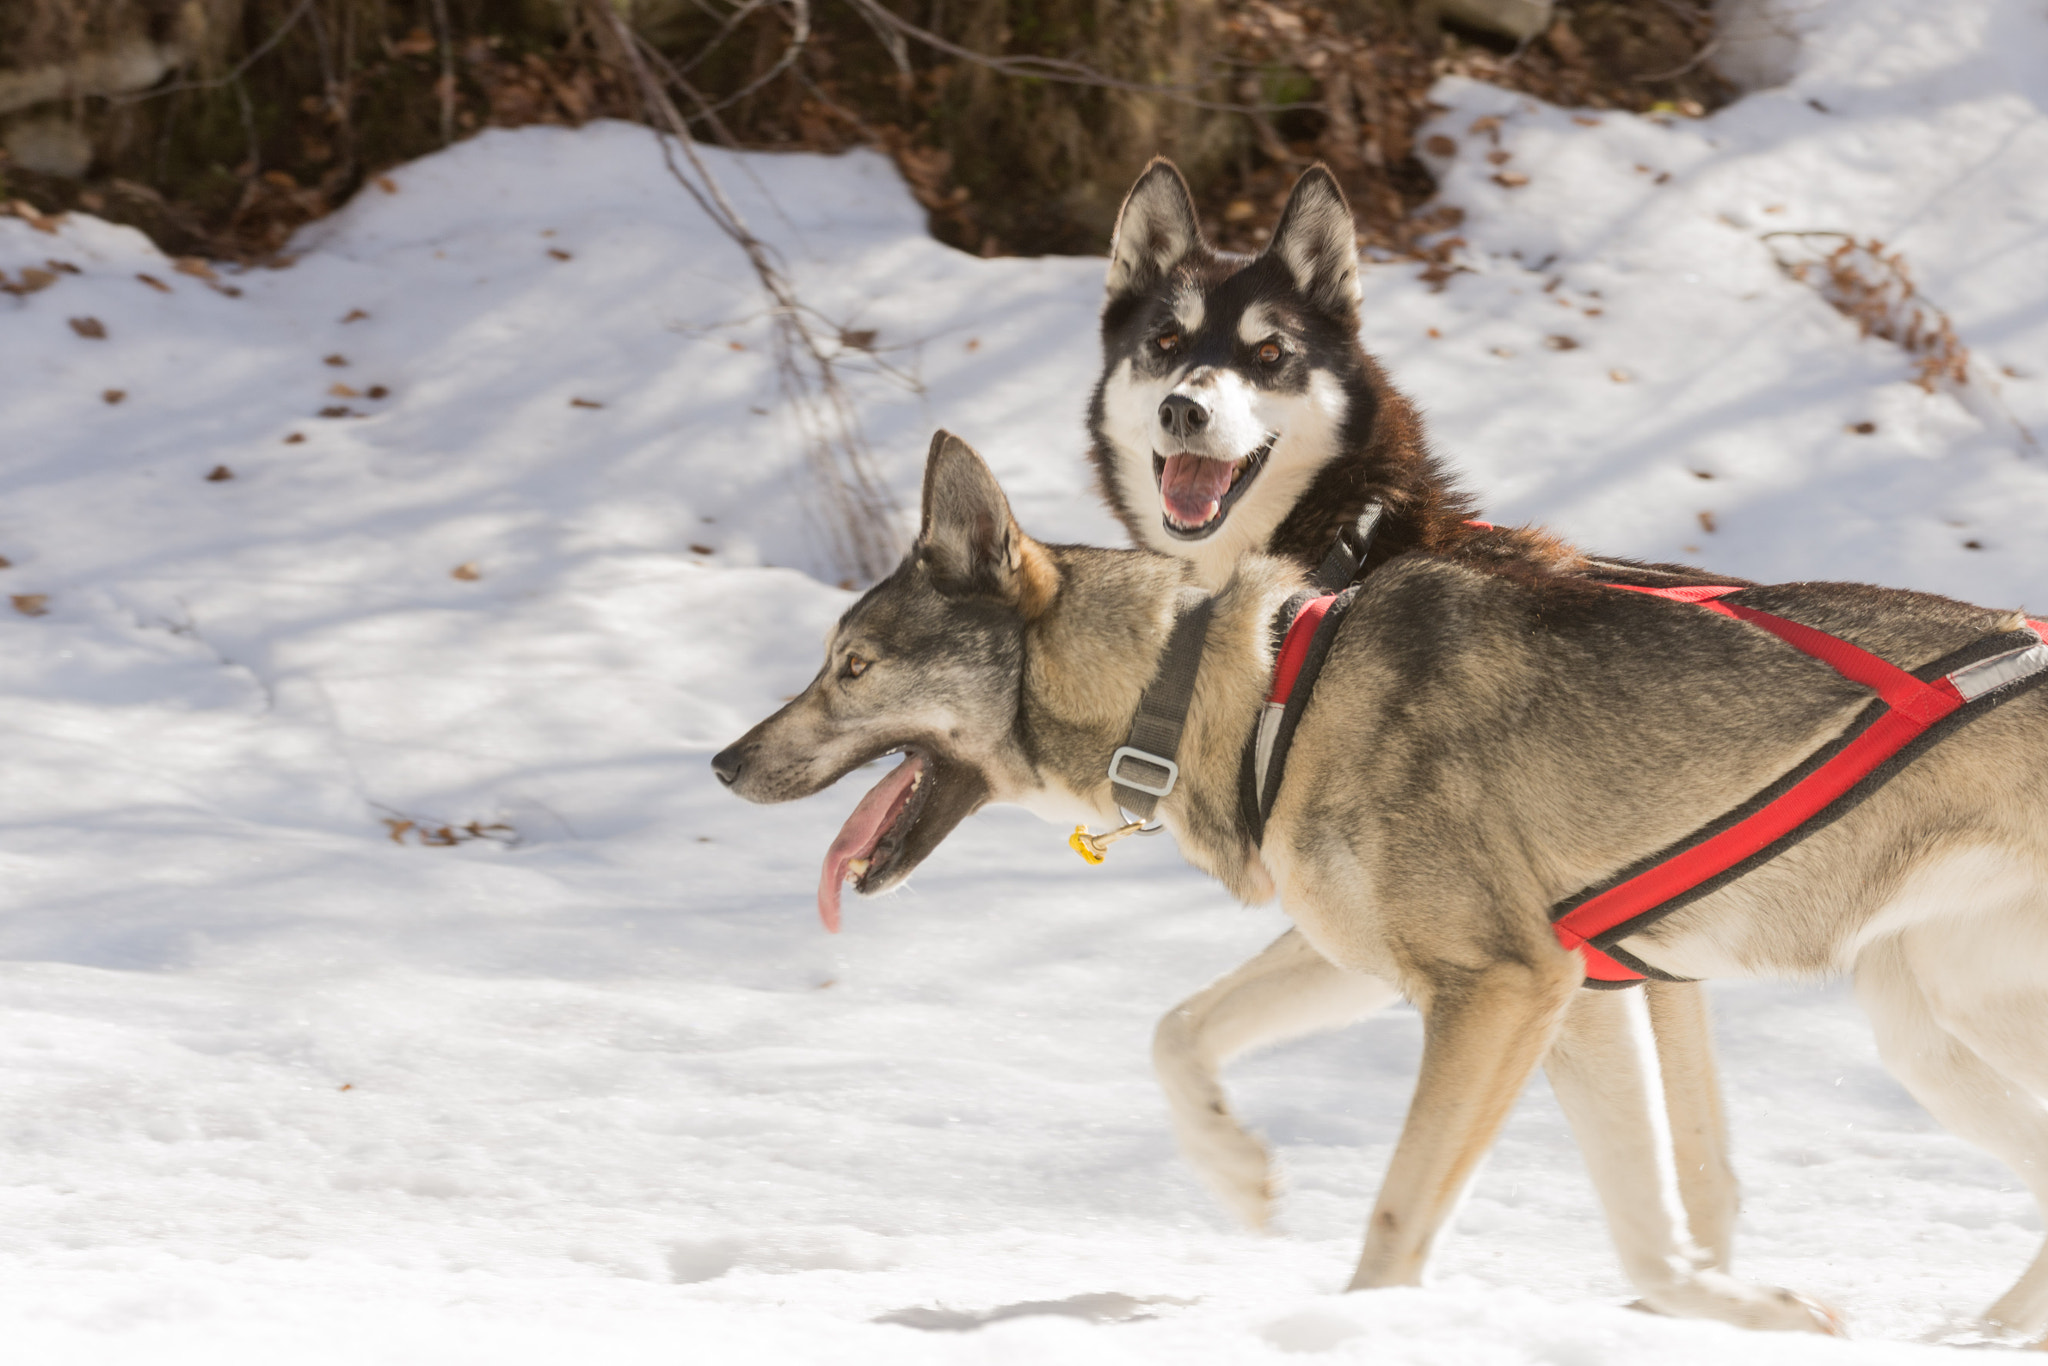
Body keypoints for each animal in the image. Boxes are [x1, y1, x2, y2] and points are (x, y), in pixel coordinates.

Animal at [716, 432, 2048, 1343]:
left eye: (849, 667)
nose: (722, 763)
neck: (1250, 689)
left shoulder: (1506, 988)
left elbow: (1404, 1218)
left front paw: (1358, 1326)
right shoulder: (1536, 988)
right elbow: (1178, 1032)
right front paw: (1238, 1173)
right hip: (1923, 1025)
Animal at [1097, 157, 1753, 1269]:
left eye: (1267, 355)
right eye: (1167, 343)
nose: (1184, 409)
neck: (1339, 563)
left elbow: (1699, 1178)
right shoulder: (1384, 931)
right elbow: (1176, 1028)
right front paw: (1234, 1169)